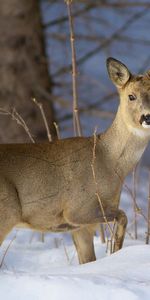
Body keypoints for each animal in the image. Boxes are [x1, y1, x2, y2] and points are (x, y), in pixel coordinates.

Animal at [0, 57, 150, 264]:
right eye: (131, 96)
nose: (147, 117)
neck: (108, 162)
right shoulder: (76, 210)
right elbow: (123, 215)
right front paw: (116, 250)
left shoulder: (82, 228)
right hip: (7, 210)